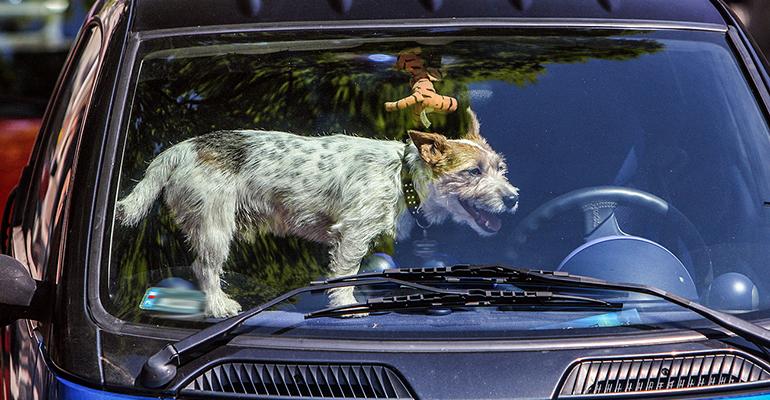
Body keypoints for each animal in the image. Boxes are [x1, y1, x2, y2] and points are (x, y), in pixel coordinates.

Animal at [117, 108, 520, 316]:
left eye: (500, 168)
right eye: (473, 172)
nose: (514, 198)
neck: (401, 176)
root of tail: (183, 148)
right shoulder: (353, 235)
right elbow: (345, 273)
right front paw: (345, 304)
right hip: (214, 226)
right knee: (204, 268)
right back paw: (218, 305)